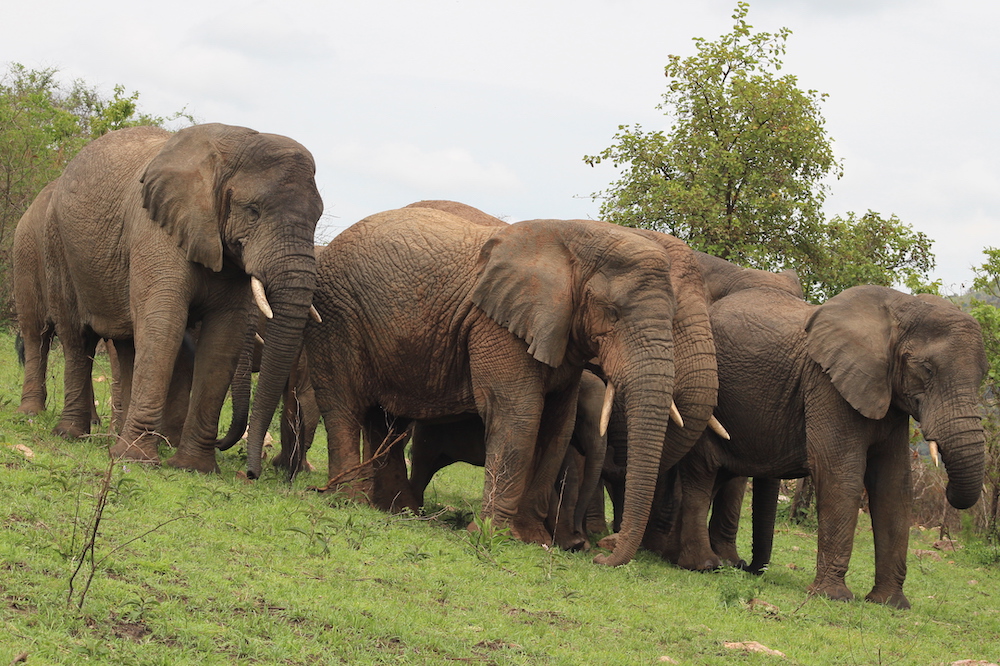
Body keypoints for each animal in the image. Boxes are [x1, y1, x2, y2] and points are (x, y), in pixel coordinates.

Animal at [42, 122, 320, 470]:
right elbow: (164, 324)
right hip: (58, 241)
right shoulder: (156, 227)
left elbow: (223, 339)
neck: (234, 145)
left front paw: (192, 467)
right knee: (77, 338)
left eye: (318, 218)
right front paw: (136, 459)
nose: (253, 473)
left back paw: (115, 439)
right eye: (253, 211)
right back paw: (71, 435)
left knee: (128, 345)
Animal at [290, 205, 720, 564]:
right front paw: (489, 533)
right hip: (336, 313)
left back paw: (396, 509)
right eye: (611, 312)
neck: (578, 241)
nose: (602, 550)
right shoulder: (496, 325)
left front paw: (532, 538)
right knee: (345, 406)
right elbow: (519, 414)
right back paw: (351, 501)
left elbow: (556, 425)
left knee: (386, 419)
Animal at [668, 286, 988, 608]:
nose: (947, 489)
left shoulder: (889, 399)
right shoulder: (827, 383)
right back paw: (703, 565)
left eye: (983, 377)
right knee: (703, 474)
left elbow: (893, 484)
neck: (901, 307)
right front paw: (834, 597)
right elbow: (841, 474)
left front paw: (890, 604)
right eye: (926, 369)